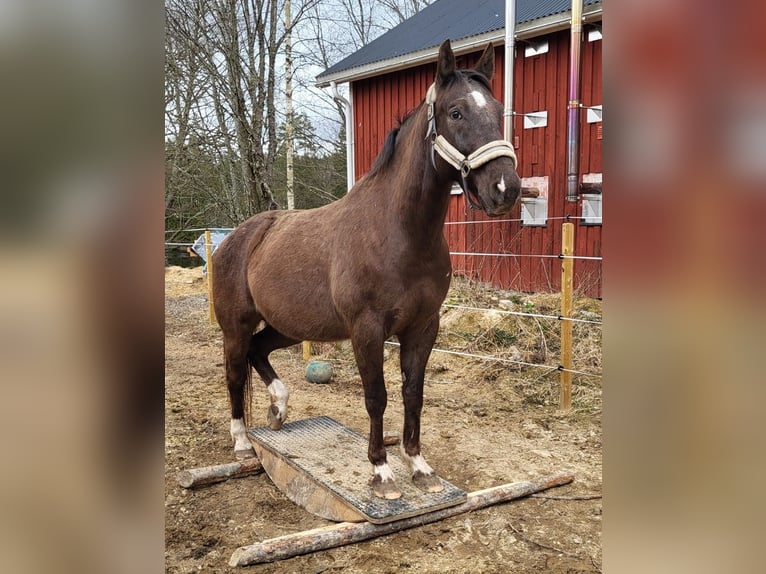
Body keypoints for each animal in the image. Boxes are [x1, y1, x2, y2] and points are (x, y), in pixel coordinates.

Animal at [212, 39, 521, 500]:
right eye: (456, 112)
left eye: (499, 110)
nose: (506, 188)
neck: (398, 232)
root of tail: (238, 236)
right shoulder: (367, 329)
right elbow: (377, 396)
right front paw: (381, 473)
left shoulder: (423, 327)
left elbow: (414, 393)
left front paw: (419, 466)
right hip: (235, 326)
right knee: (234, 372)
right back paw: (241, 442)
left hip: (290, 324)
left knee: (258, 350)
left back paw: (279, 409)